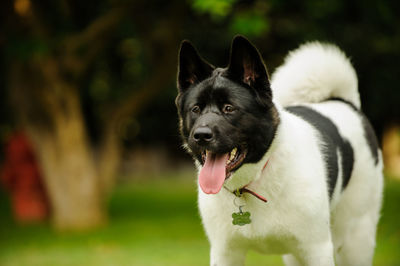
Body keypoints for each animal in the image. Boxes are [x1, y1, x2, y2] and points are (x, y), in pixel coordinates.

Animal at [176, 35, 384, 266]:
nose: (201, 135)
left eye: (229, 108)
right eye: (195, 109)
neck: (255, 180)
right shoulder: (225, 253)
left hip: (356, 240)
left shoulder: (317, 249)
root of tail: (343, 102)